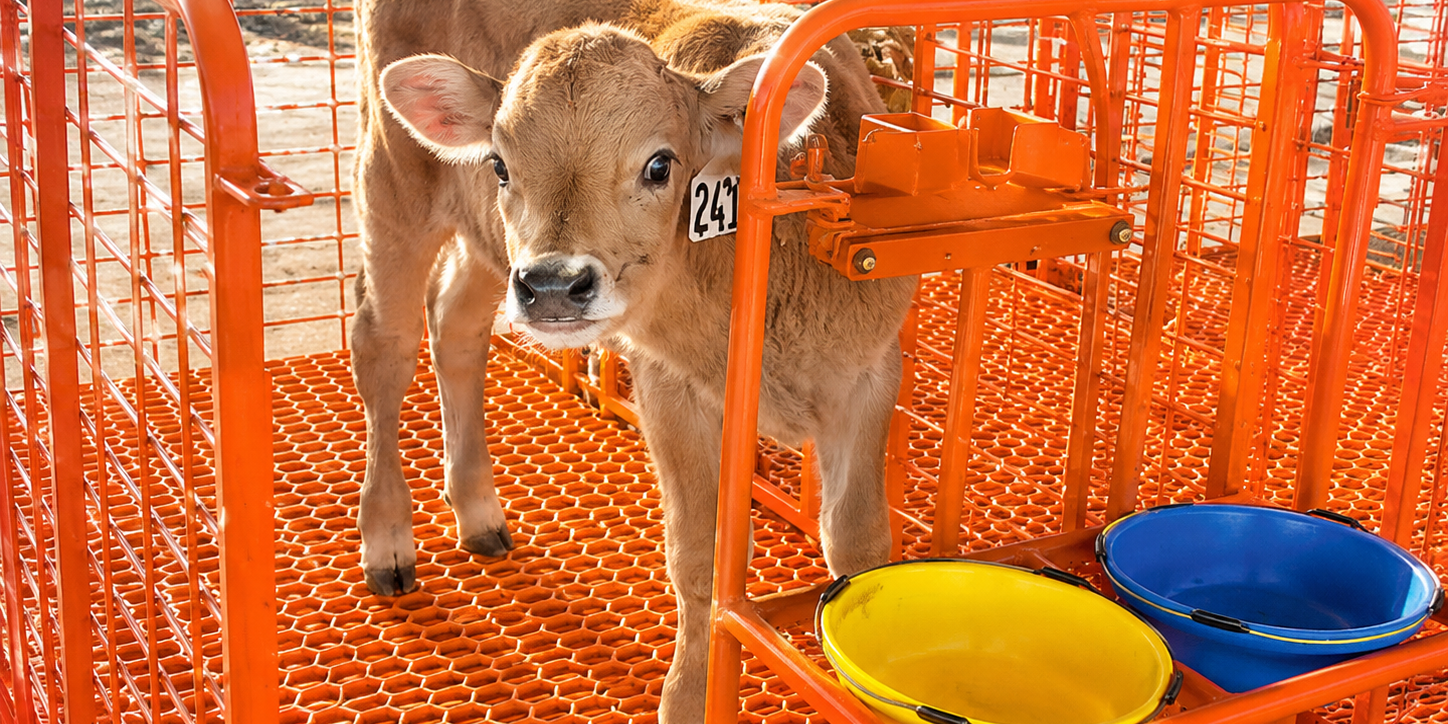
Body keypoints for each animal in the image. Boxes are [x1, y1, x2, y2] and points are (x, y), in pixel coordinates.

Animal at [354, 0, 917, 719]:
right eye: (501, 164)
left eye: (659, 166)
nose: (554, 286)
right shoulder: (670, 388)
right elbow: (701, 557)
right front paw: (688, 698)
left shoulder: (870, 371)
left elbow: (859, 542)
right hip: (394, 189)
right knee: (384, 346)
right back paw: (387, 540)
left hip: (490, 249)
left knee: (455, 327)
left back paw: (477, 511)